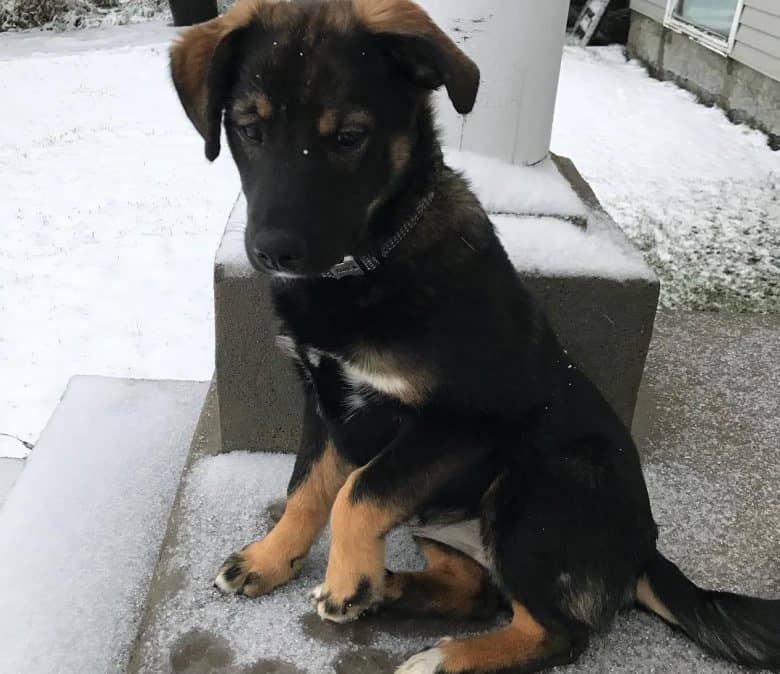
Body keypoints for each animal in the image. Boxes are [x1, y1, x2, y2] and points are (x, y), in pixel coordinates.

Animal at [172, 2, 780, 668]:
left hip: (536, 489)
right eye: (248, 130)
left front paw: (345, 579)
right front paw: (271, 557)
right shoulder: (324, 401)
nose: (273, 252)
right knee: (474, 591)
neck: (370, 265)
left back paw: (440, 654)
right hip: (442, 514)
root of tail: (643, 552)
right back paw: (391, 588)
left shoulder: (466, 419)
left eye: (351, 137)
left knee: (557, 632)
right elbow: (307, 487)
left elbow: (358, 489)